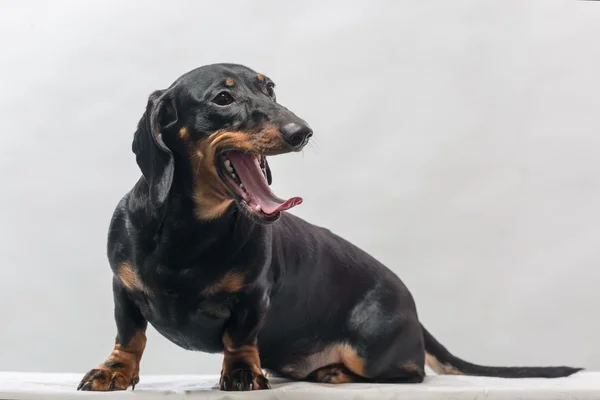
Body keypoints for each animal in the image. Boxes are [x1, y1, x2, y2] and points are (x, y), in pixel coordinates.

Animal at [75, 62, 580, 390]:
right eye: (223, 97)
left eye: (271, 89)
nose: (303, 131)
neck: (191, 232)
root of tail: (414, 311)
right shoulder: (123, 289)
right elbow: (129, 334)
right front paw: (114, 371)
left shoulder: (254, 296)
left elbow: (240, 337)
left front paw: (241, 372)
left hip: (372, 350)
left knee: (412, 372)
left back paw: (333, 372)